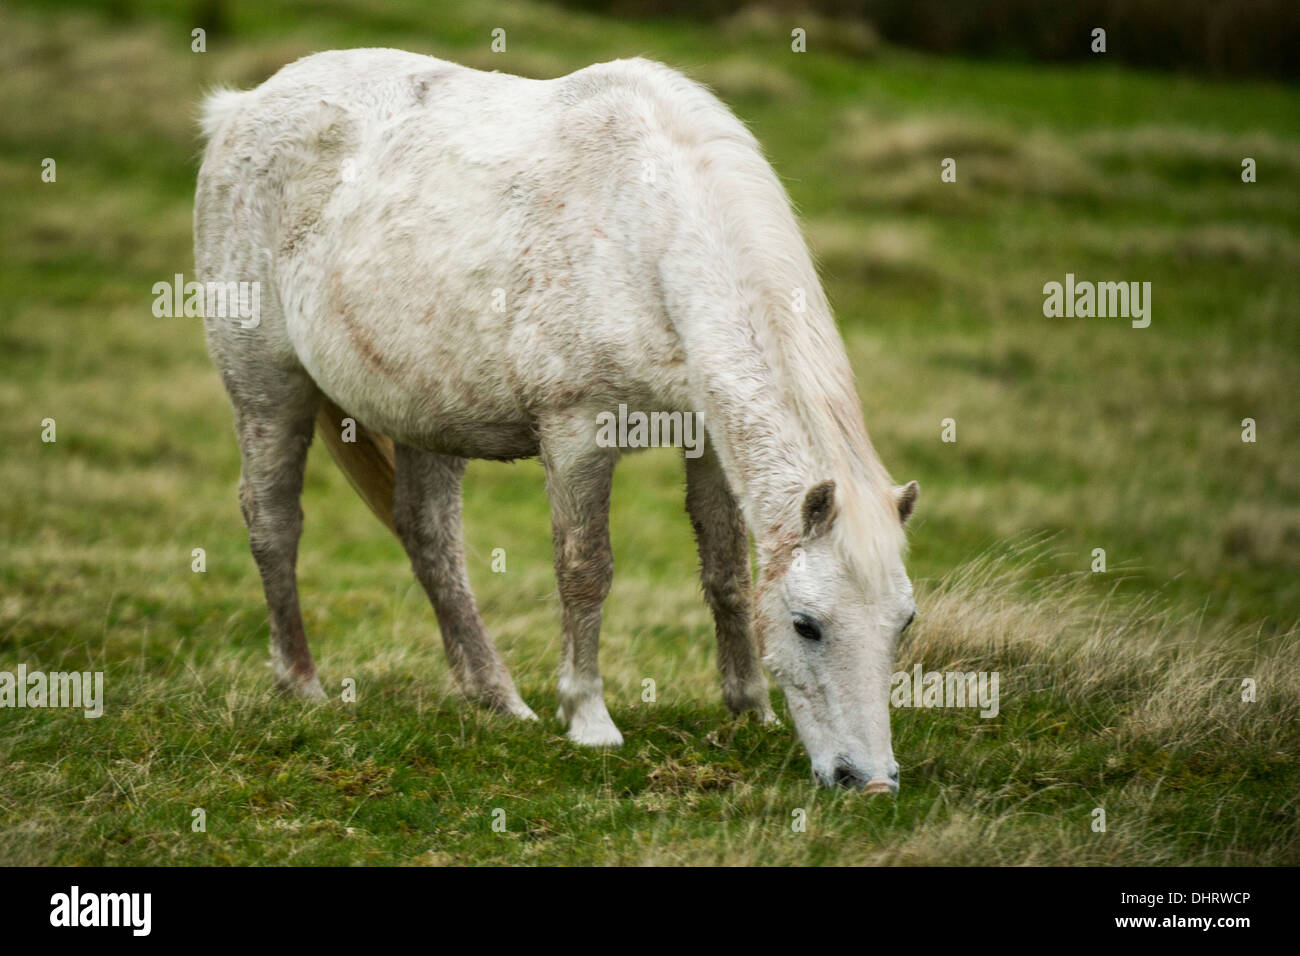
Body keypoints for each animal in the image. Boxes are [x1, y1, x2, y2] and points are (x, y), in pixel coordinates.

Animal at [195, 48, 925, 790]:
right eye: (807, 625)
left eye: (904, 624)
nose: (868, 781)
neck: (643, 231)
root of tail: (239, 108)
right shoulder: (578, 435)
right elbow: (585, 570)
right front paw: (589, 719)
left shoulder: (706, 439)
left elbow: (727, 572)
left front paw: (749, 709)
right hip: (266, 388)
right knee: (274, 521)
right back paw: (302, 684)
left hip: (423, 415)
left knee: (430, 540)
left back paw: (498, 699)